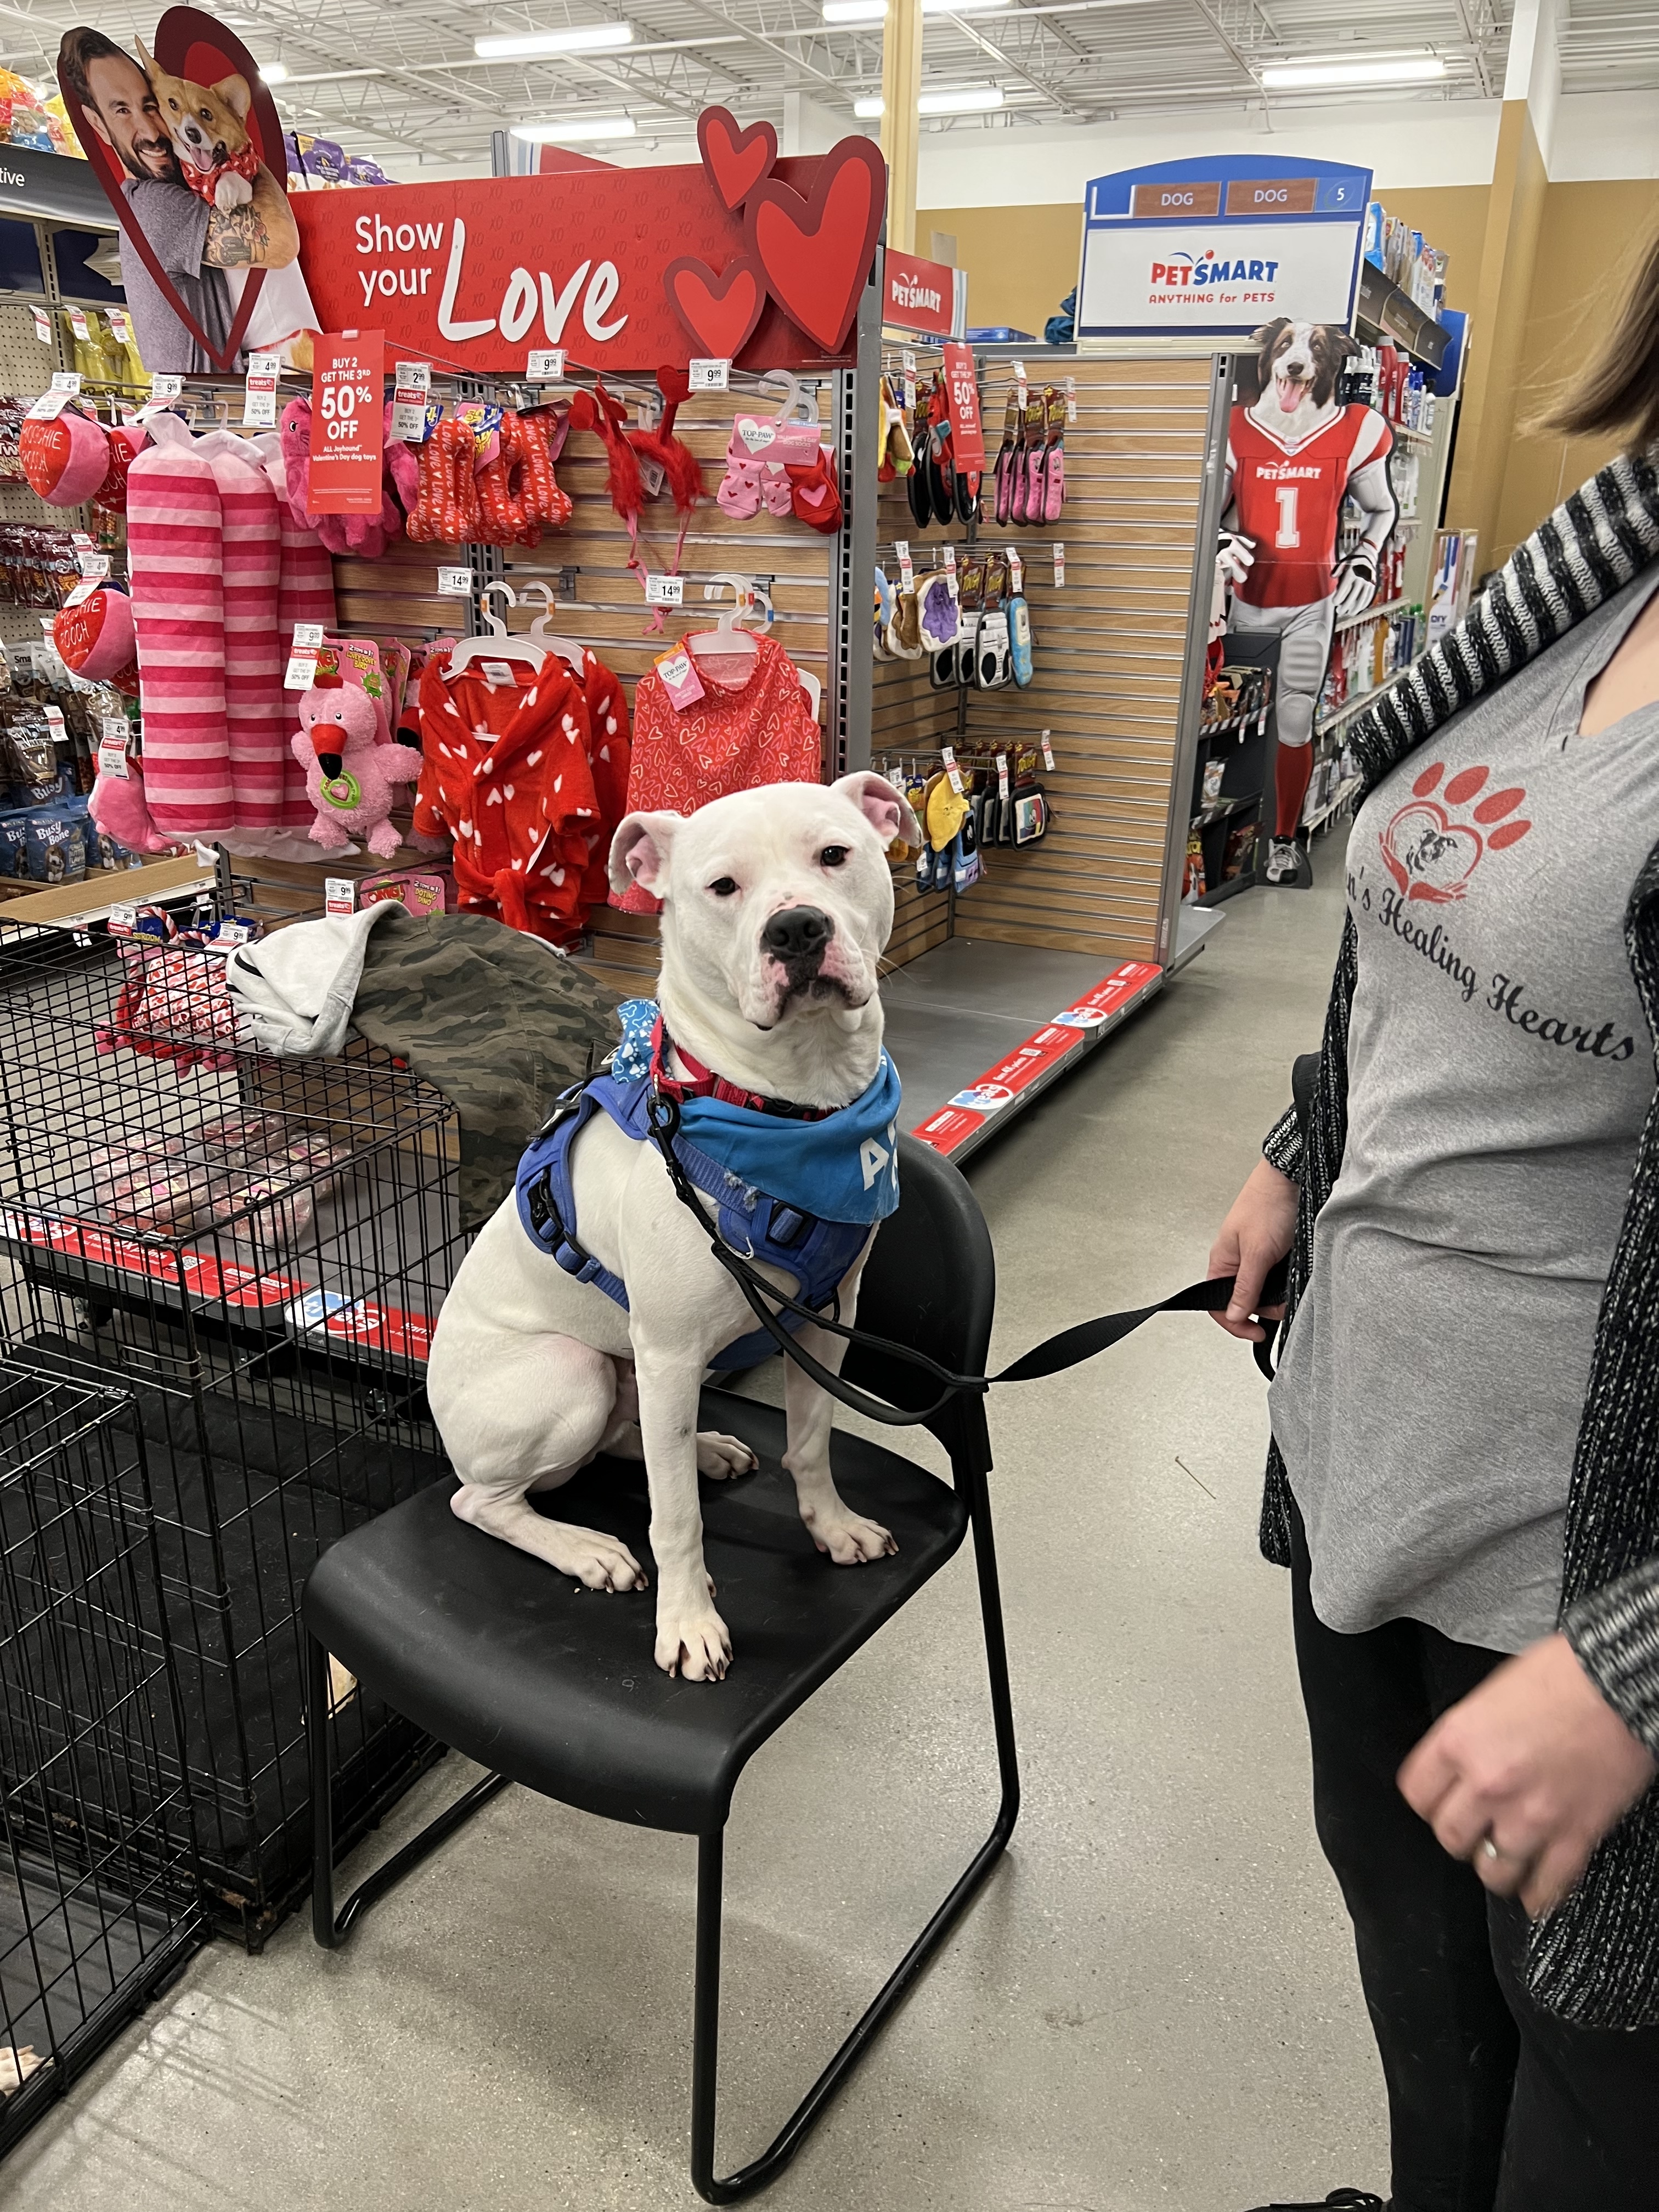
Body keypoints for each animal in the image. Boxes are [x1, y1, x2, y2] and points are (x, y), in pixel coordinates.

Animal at [429, 774, 924, 1672]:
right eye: (723, 887)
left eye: (835, 855)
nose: (797, 928)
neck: (790, 1108)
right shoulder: (668, 1349)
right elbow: (676, 1519)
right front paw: (689, 1624)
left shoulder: (829, 1317)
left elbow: (811, 1442)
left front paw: (832, 1527)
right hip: (576, 1375)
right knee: (484, 1500)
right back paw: (586, 1547)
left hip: (636, 1381)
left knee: (629, 1440)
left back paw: (706, 1449)